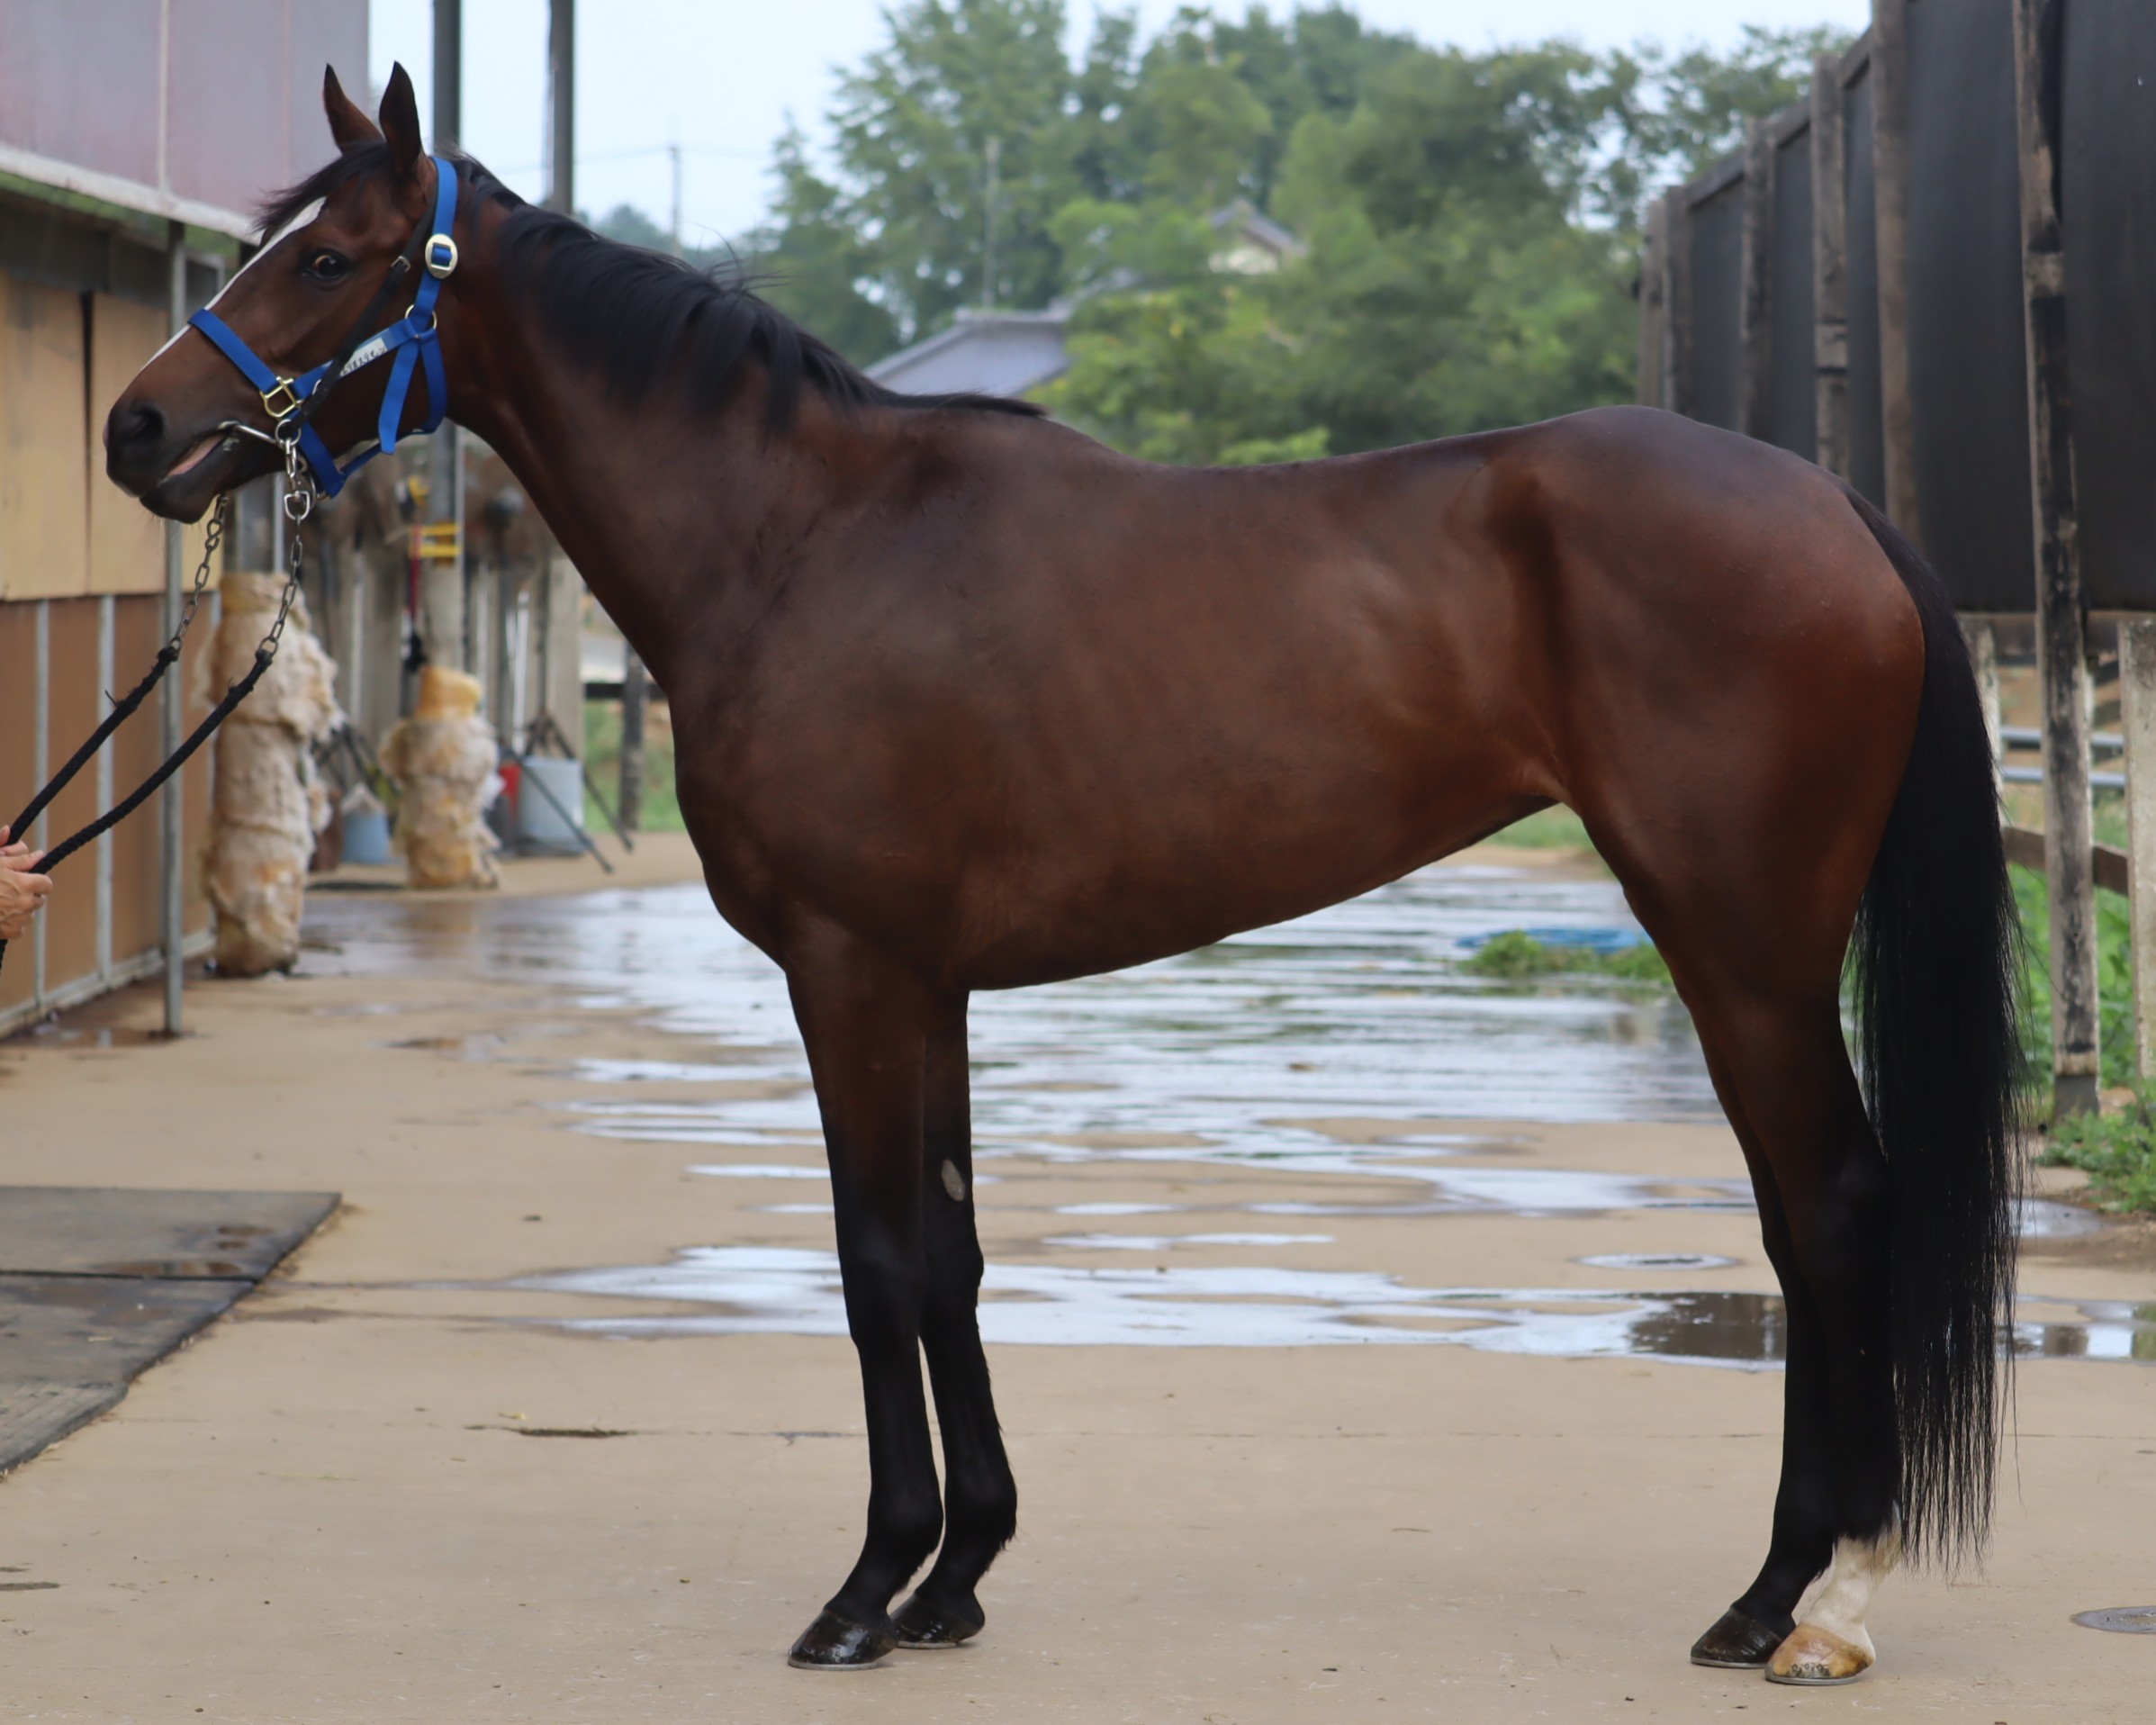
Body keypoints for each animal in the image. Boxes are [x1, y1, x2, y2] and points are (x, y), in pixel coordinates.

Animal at [104, 65, 2023, 1683]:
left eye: (328, 257)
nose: (136, 429)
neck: (799, 541)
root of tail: (1838, 511)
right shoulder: (930, 983)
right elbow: (950, 1254)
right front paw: (957, 1576)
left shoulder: (851, 971)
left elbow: (877, 1257)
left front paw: (865, 1592)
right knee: (1799, 1222)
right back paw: (1774, 1593)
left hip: (1743, 943)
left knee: (1830, 1212)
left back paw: (1814, 1602)